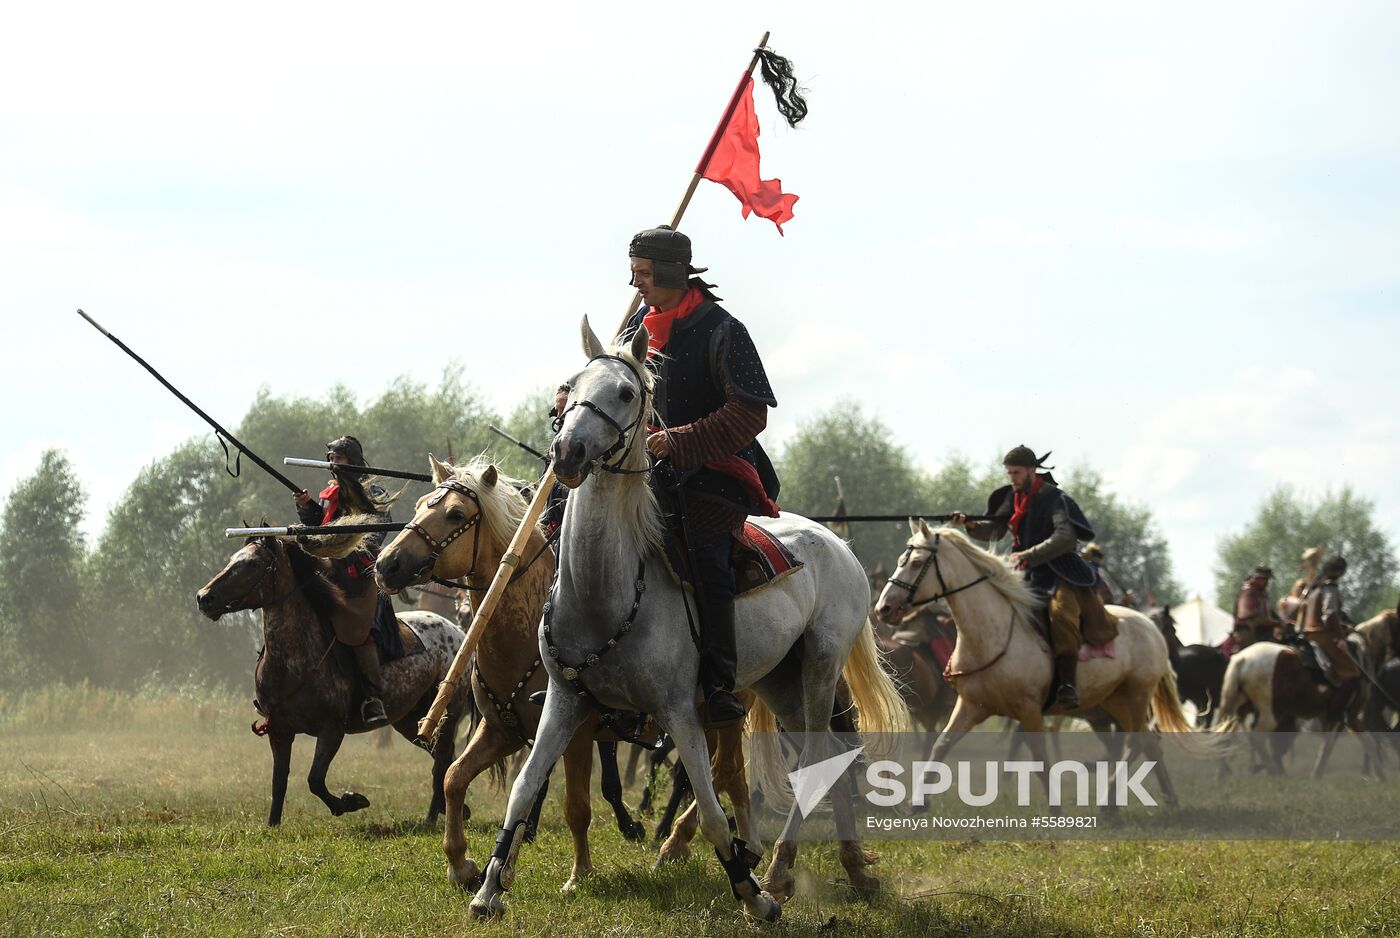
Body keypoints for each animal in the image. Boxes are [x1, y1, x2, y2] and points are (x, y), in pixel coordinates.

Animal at [197, 532, 470, 828]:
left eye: (253, 564)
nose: (204, 598)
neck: (293, 659)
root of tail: (458, 632)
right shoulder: (279, 731)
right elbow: (278, 782)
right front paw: (272, 825)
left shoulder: (331, 730)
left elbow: (315, 780)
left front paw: (351, 801)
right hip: (410, 721)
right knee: (442, 757)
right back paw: (447, 811)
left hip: (448, 714)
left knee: (441, 759)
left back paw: (434, 817)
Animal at [464, 319, 912, 924]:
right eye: (570, 385)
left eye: (626, 393)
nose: (568, 450)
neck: (606, 594)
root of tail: (839, 546)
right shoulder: (565, 701)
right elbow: (526, 786)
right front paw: (489, 887)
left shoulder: (679, 711)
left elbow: (712, 804)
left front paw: (751, 892)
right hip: (779, 681)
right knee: (833, 759)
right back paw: (853, 871)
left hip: (820, 667)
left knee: (818, 755)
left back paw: (779, 873)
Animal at [873, 518, 1192, 806]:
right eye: (902, 561)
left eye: (916, 563)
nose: (884, 608)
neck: (993, 634)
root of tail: (1149, 627)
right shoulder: (970, 706)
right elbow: (941, 745)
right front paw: (918, 801)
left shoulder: (1029, 711)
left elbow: (1039, 757)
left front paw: (1055, 809)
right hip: (1116, 700)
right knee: (1147, 742)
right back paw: (1163, 797)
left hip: (1136, 695)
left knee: (1136, 742)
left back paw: (1110, 800)